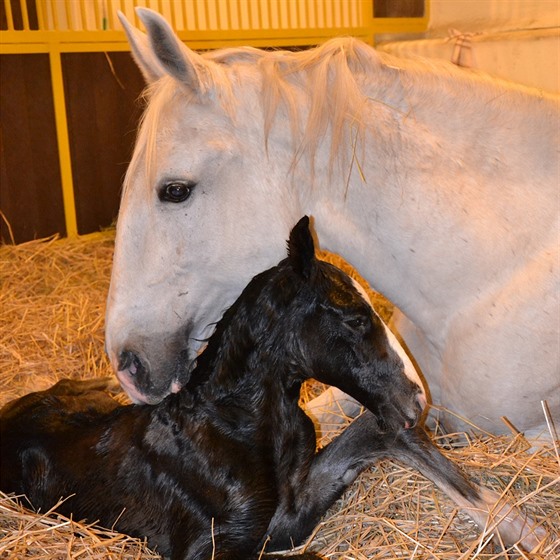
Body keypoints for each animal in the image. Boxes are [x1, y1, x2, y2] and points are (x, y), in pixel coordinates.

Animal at [0, 218, 544, 556]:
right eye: (353, 317)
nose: (415, 402)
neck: (234, 427)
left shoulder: (290, 509)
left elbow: (377, 435)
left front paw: (525, 531)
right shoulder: (214, 546)